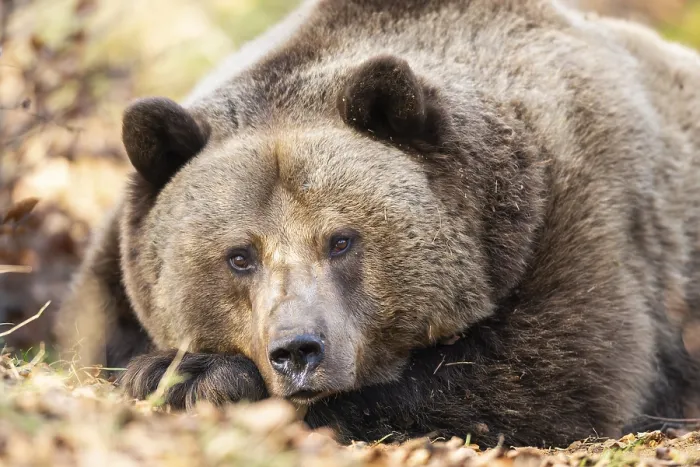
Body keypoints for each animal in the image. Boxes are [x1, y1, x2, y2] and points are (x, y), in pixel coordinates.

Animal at [56, 0, 700, 447]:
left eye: (340, 240)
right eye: (240, 255)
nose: (297, 350)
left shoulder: (568, 213)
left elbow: (552, 373)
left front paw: (204, 378)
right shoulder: (121, 254)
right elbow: (98, 331)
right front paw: (171, 371)